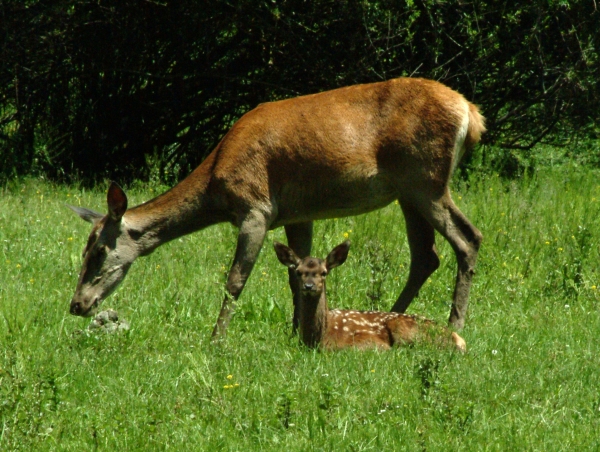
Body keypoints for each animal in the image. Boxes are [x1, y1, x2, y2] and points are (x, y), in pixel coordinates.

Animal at [68, 78, 486, 340]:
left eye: (99, 250)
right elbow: (294, 271)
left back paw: (456, 324)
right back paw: (391, 314)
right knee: (426, 256)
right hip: (408, 192)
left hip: (426, 179)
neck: (216, 182)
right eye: (83, 249)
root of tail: (472, 114)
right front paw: (295, 331)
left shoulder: (256, 209)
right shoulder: (298, 214)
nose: (76, 304)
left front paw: (216, 339)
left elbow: (235, 280)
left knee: (468, 238)